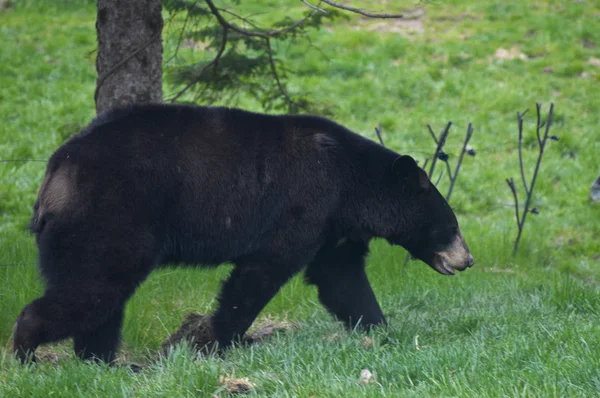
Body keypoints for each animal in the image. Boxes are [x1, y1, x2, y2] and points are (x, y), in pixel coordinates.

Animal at [12, 102, 474, 364]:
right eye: (450, 226)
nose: (468, 260)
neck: (351, 185)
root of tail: (54, 173)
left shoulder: (334, 226)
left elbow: (340, 277)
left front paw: (377, 327)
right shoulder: (306, 198)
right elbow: (264, 269)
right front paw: (222, 341)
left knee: (102, 301)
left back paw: (106, 362)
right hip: (110, 215)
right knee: (94, 287)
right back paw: (27, 353)